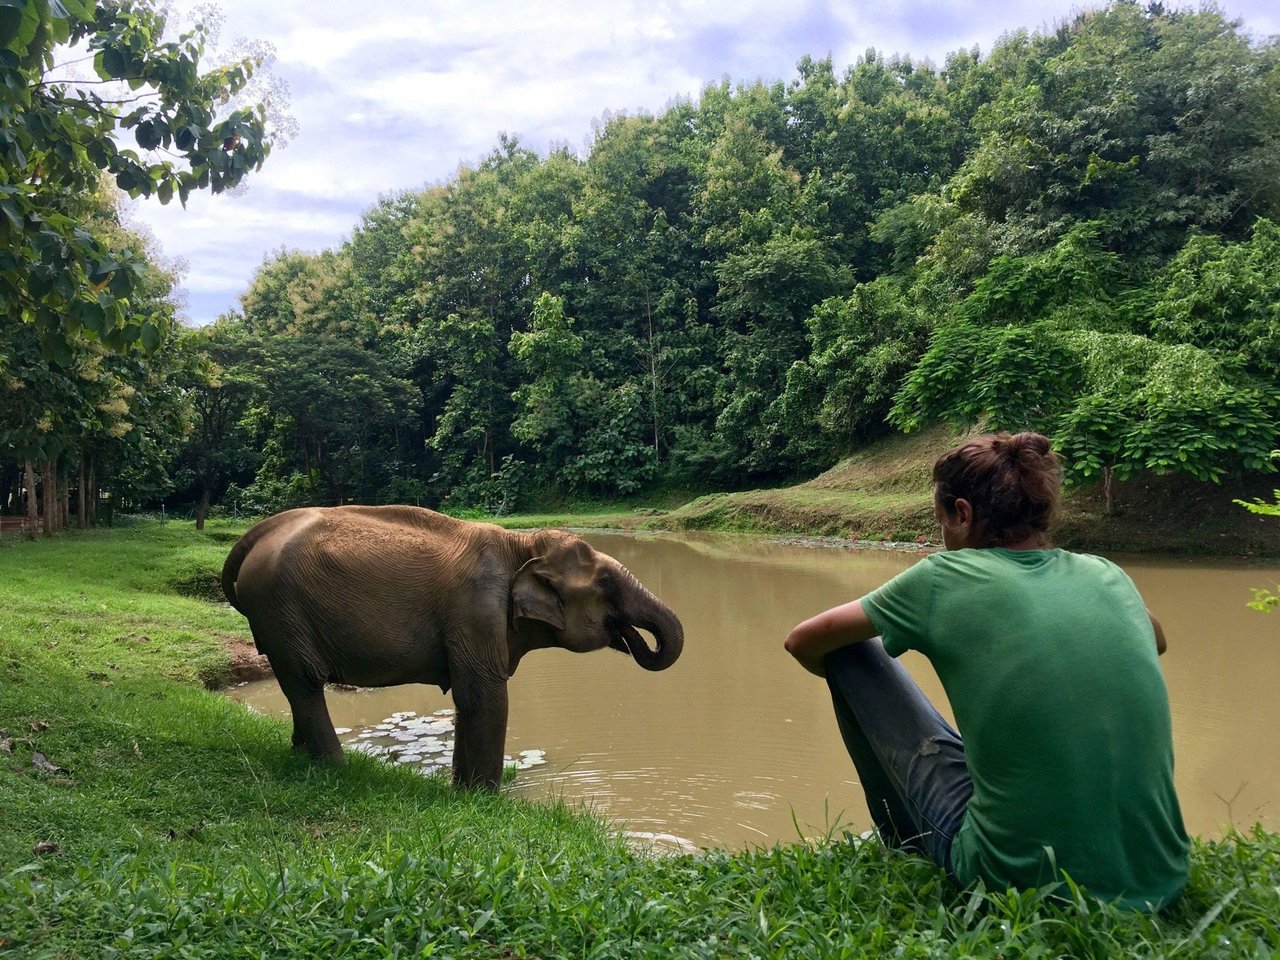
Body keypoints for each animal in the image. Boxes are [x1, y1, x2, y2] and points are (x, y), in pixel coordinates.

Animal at [222, 504, 680, 788]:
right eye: (604, 583)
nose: (633, 637)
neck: (522, 543)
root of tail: (254, 536)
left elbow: (471, 698)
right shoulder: (475, 611)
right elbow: (485, 696)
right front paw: (482, 799)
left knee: (297, 686)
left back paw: (301, 758)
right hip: (279, 608)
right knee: (305, 683)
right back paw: (336, 769)